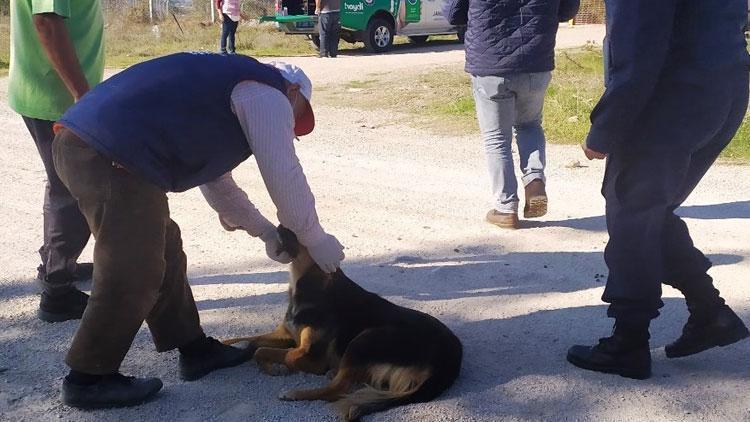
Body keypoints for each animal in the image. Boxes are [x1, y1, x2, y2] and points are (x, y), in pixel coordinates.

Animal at [225, 227, 464, 422]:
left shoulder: (311, 355)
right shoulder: (285, 334)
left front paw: (279, 365)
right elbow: (251, 342)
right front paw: (239, 348)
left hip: (365, 339)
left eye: (306, 235)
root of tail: (449, 359)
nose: (280, 224)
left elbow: (273, 352)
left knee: (338, 390)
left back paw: (297, 393)